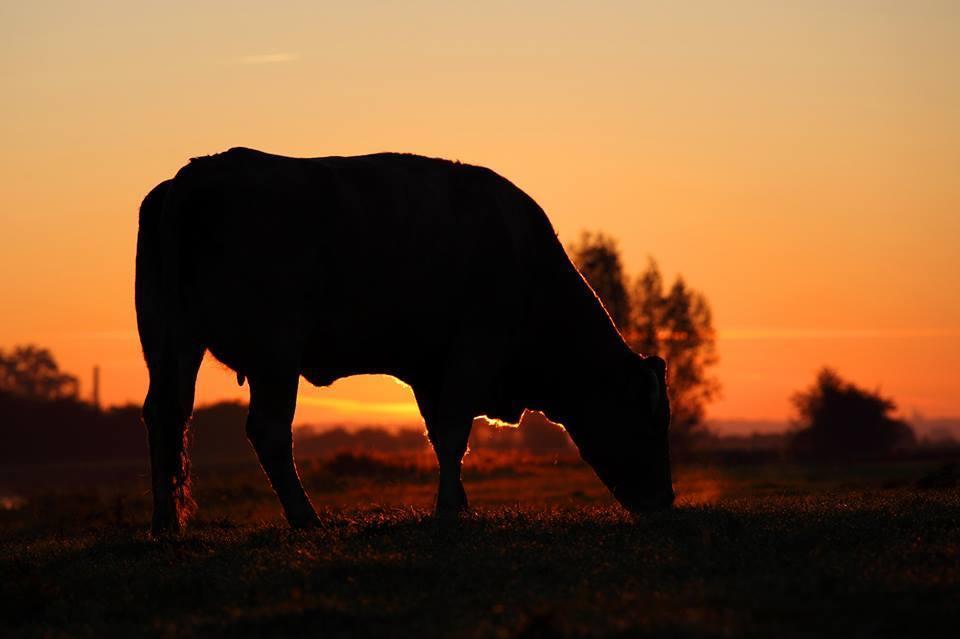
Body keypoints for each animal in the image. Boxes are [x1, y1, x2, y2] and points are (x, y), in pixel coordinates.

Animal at [137, 148, 676, 532]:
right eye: (650, 419)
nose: (665, 503)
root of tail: (195, 174)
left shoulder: (427, 368)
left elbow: (439, 435)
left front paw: (458, 505)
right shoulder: (474, 348)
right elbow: (454, 431)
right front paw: (449, 511)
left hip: (171, 344)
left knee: (167, 415)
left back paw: (166, 525)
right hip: (276, 354)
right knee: (269, 429)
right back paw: (307, 519)